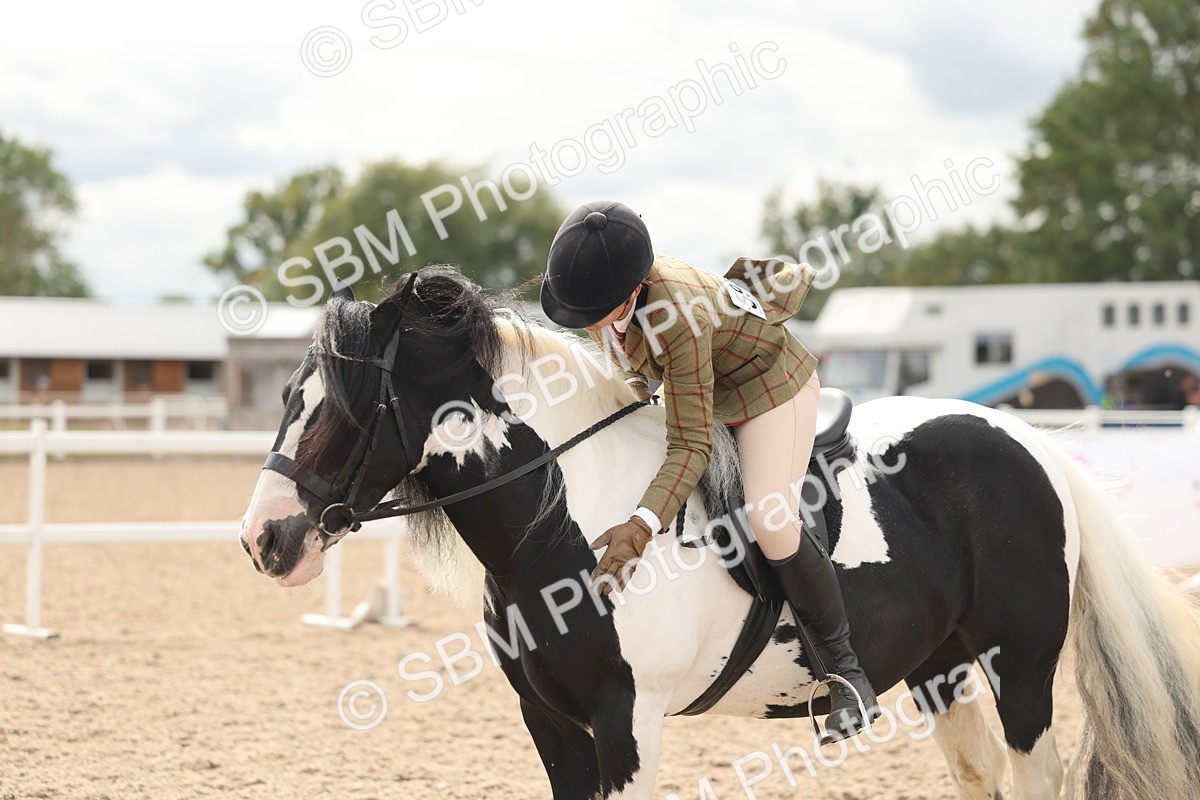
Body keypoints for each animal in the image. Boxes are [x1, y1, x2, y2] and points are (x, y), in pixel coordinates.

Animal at [240, 265, 1200, 800]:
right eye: (286, 396)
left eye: (344, 408)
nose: (265, 541)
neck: (566, 531)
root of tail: (1034, 444)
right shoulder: (550, 723)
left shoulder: (628, 720)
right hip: (942, 667)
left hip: (1021, 667)